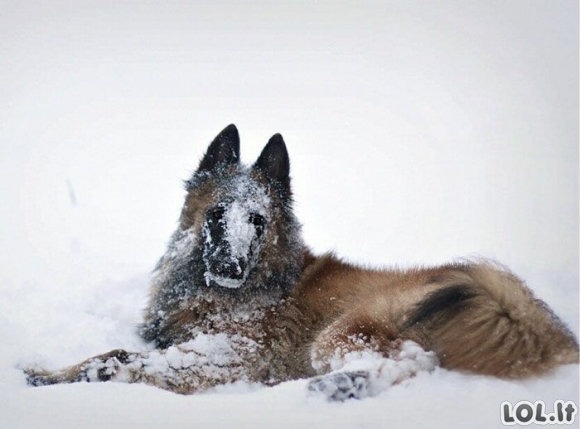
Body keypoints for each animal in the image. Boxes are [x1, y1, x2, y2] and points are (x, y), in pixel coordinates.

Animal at [26, 125, 580, 400]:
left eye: (258, 220)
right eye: (217, 214)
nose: (229, 268)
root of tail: (524, 311)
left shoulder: (225, 355)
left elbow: (118, 359)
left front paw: (56, 377)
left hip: (344, 329)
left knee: (409, 360)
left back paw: (336, 386)